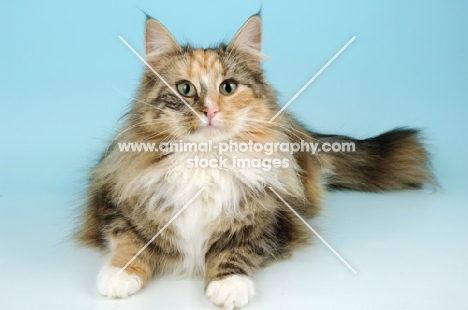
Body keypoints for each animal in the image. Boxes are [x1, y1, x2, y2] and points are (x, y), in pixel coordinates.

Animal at [76, 13, 436, 310]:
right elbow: (130, 242)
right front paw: (119, 276)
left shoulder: (269, 220)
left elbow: (237, 250)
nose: (209, 111)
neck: (205, 163)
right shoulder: (114, 205)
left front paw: (228, 286)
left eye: (228, 87)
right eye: (185, 89)